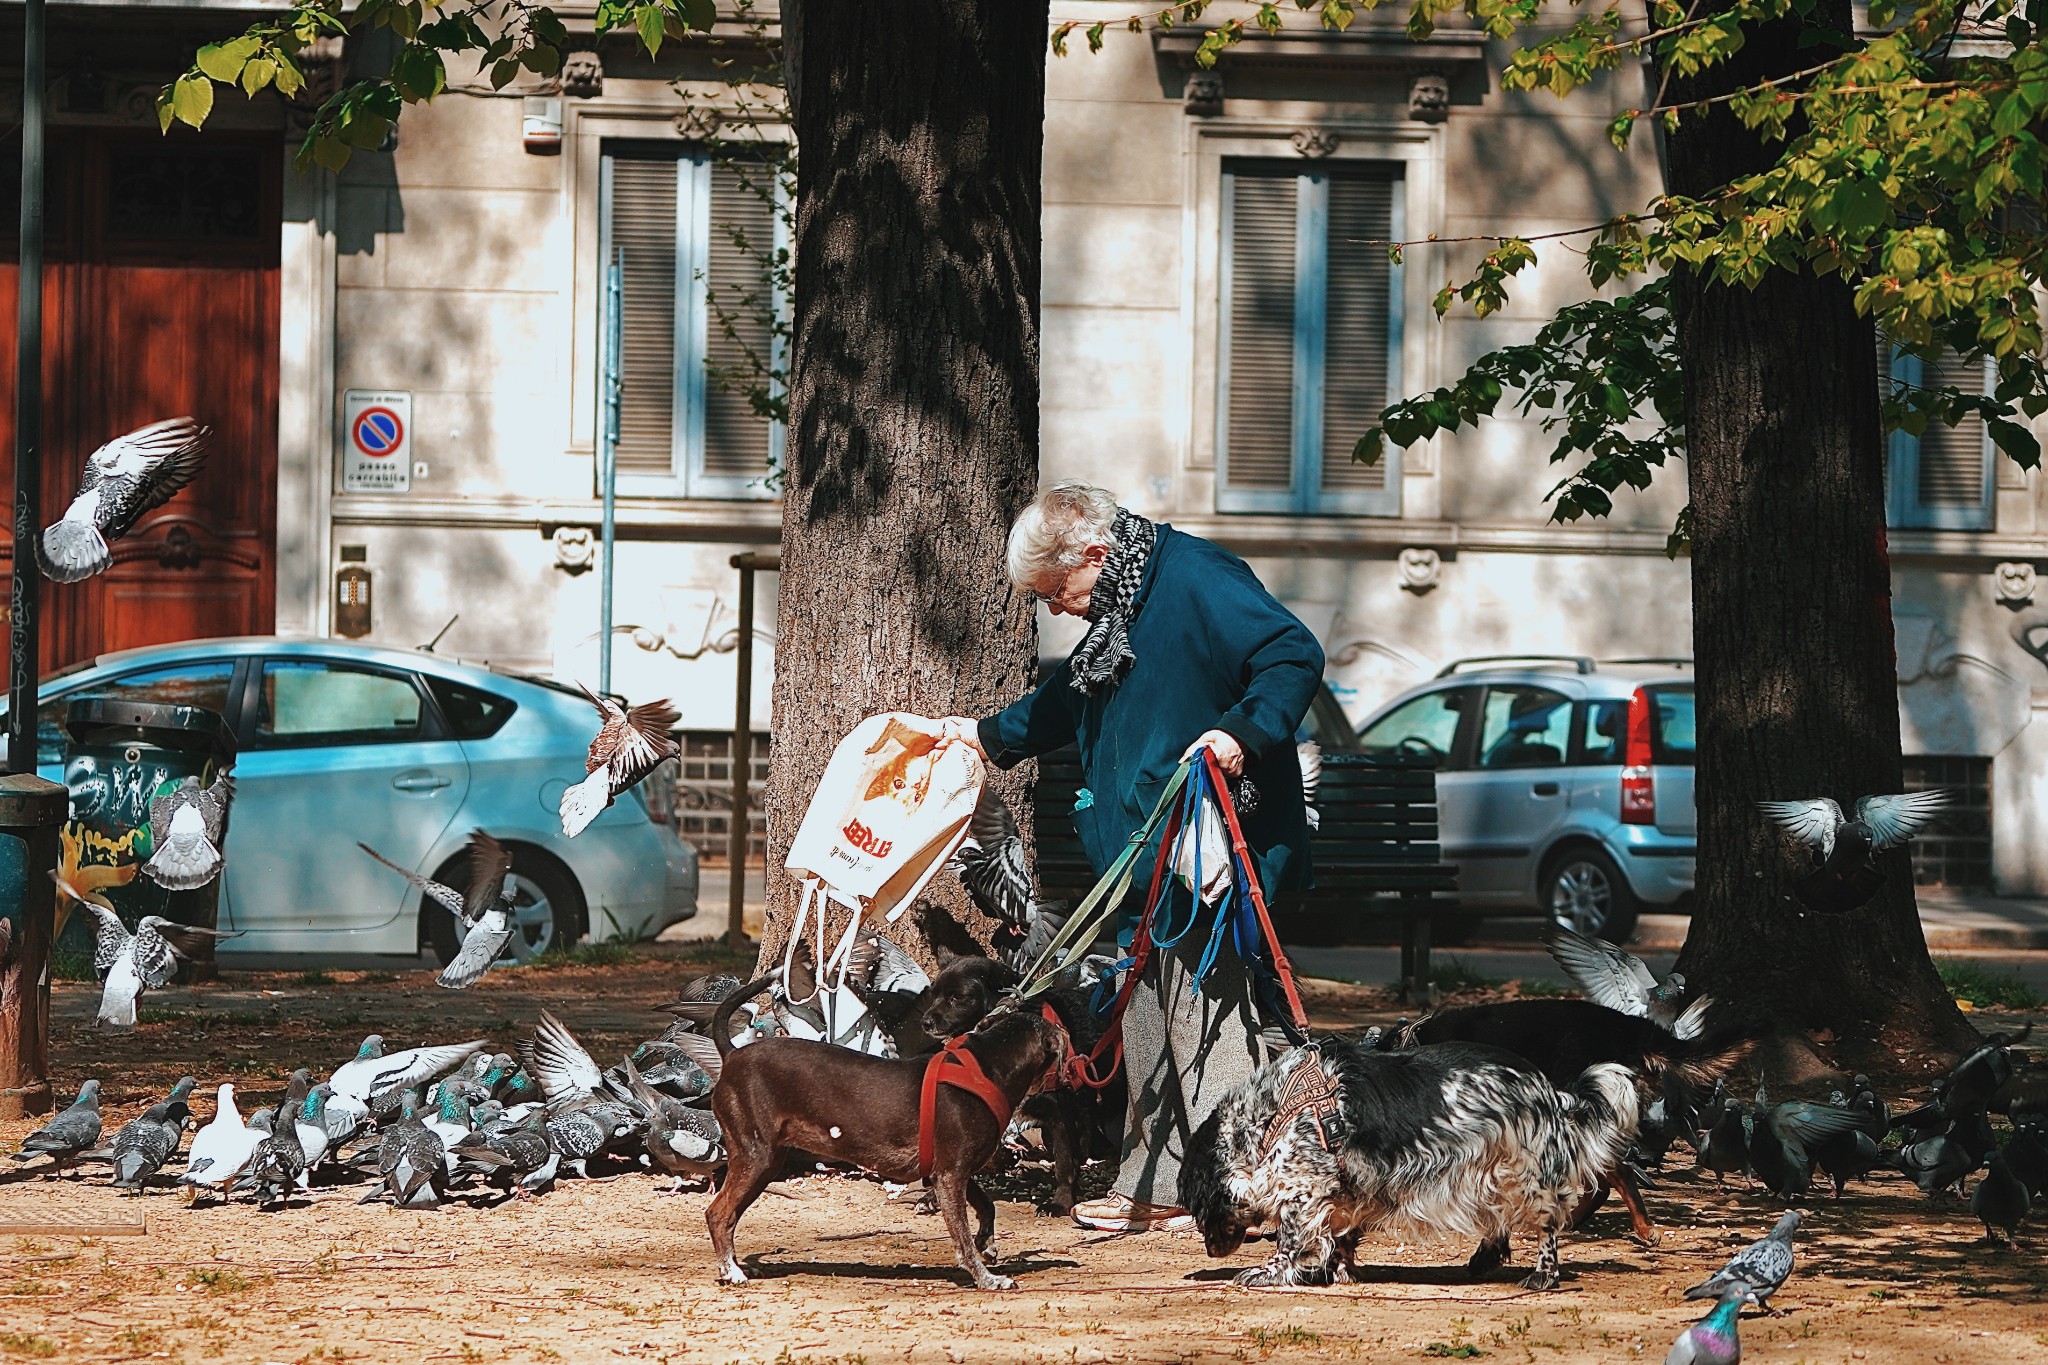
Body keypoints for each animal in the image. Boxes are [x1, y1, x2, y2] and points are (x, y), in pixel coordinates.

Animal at [708, 970, 1064, 1293]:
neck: (986, 1068)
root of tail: (733, 1055)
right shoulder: (950, 1175)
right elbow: (962, 1239)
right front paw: (987, 1278)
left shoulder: (950, 1171)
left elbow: (987, 1205)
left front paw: (987, 1244)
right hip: (758, 1157)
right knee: (717, 1213)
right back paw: (732, 1272)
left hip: (766, 1162)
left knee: (726, 1214)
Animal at [1187, 1039, 1630, 1285]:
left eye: (1200, 1209)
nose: (1210, 1251)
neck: (1268, 1116)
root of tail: (1552, 1093)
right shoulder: (1350, 1190)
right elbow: (1341, 1237)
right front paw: (1339, 1270)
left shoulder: (1306, 1192)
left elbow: (1291, 1241)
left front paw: (1270, 1272)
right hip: (1491, 1173)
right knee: (1498, 1221)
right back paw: (1484, 1258)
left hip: (1525, 1176)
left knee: (1547, 1226)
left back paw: (1543, 1275)